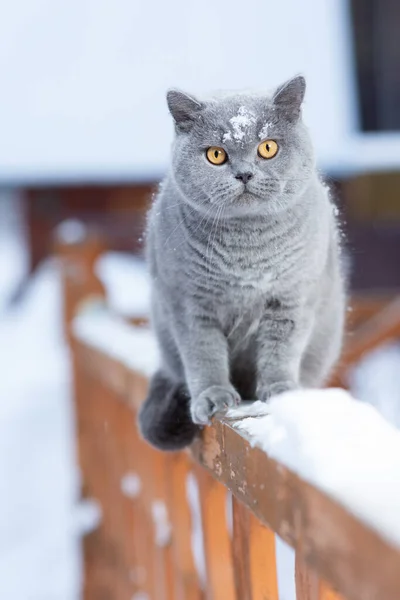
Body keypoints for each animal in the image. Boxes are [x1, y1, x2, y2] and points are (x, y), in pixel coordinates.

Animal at [139, 76, 346, 450]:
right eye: (216, 155)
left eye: (268, 148)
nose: (245, 174)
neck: (247, 248)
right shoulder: (189, 305)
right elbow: (203, 354)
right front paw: (213, 397)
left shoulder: (292, 299)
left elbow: (281, 352)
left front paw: (279, 392)